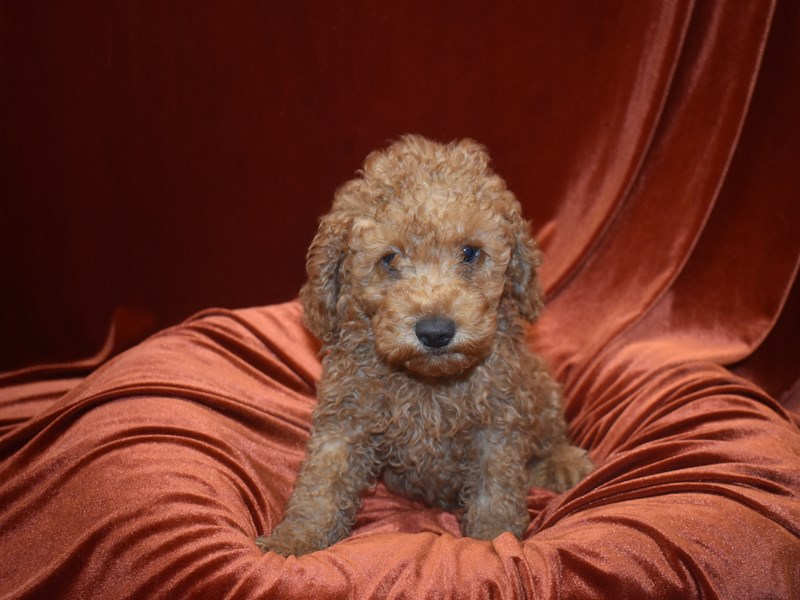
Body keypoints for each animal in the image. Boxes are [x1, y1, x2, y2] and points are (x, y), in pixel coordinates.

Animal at [258, 136, 592, 556]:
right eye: (389, 259)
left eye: (469, 252)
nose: (435, 331)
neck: (427, 383)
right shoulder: (346, 415)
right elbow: (323, 479)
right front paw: (294, 539)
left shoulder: (498, 421)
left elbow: (496, 487)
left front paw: (494, 538)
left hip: (541, 385)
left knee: (549, 433)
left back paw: (564, 462)